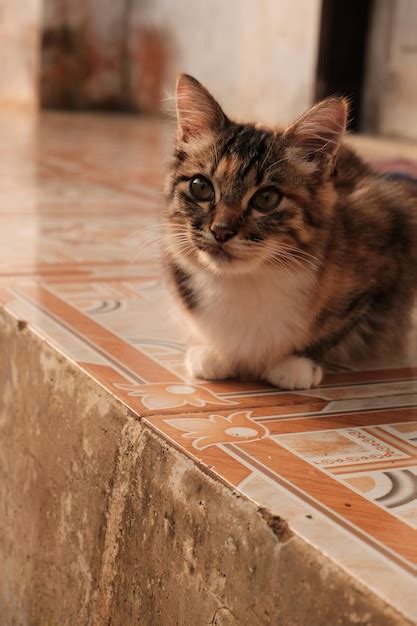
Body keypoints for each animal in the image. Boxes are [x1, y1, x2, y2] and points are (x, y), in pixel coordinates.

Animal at [163, 72, 416, 386]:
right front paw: (212, 352)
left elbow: (337, 328)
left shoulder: (384, 258)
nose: (221, 231)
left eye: (266, 199)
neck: (245, 280)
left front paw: (297, 363)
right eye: (201, 187)